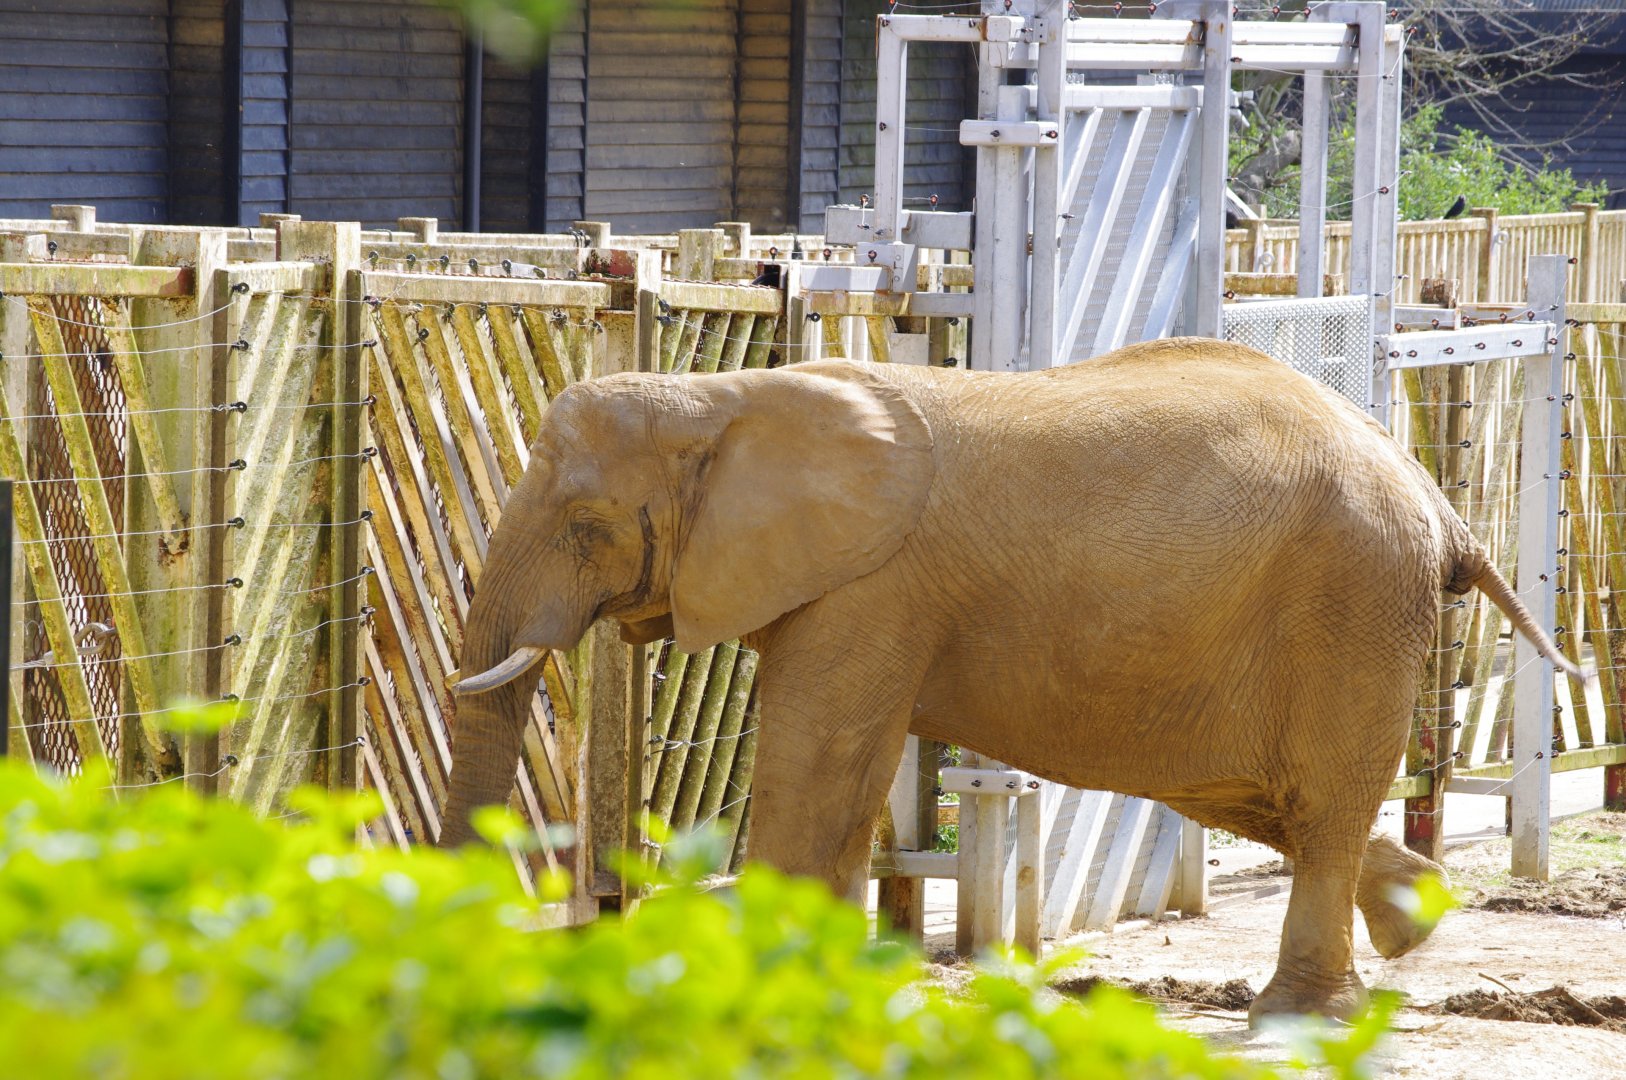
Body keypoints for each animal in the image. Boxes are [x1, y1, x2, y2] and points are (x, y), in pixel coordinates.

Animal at [439, 337, 1581, 1023]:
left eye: (583, 526)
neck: (722, 397)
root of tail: (1439, 505)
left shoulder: (870, 586)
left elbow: (816, 767)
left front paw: (772, 983)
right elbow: (843, 783)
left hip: (1350, 601)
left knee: (1323, 799)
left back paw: (1299, 1014)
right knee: (1269, 795)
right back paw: (1416, 921)